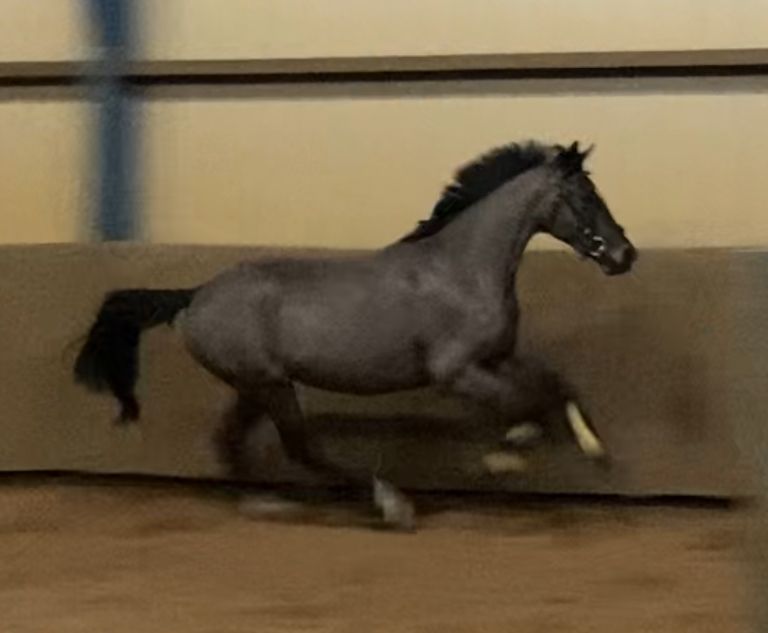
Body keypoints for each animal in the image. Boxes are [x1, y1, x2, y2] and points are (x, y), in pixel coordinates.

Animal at [74, 140, 637, 530]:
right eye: (584, 196)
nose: (623, 255)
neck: (461, 270)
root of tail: (194, 296)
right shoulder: (455, 372)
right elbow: (524, 407)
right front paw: (506, 456)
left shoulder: (499, 357)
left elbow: (555, 385)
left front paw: (595, 450)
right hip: (270, 385)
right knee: (300, 449)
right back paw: (391, 506)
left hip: (255, 386)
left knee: (232, 441)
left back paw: (270, 503)